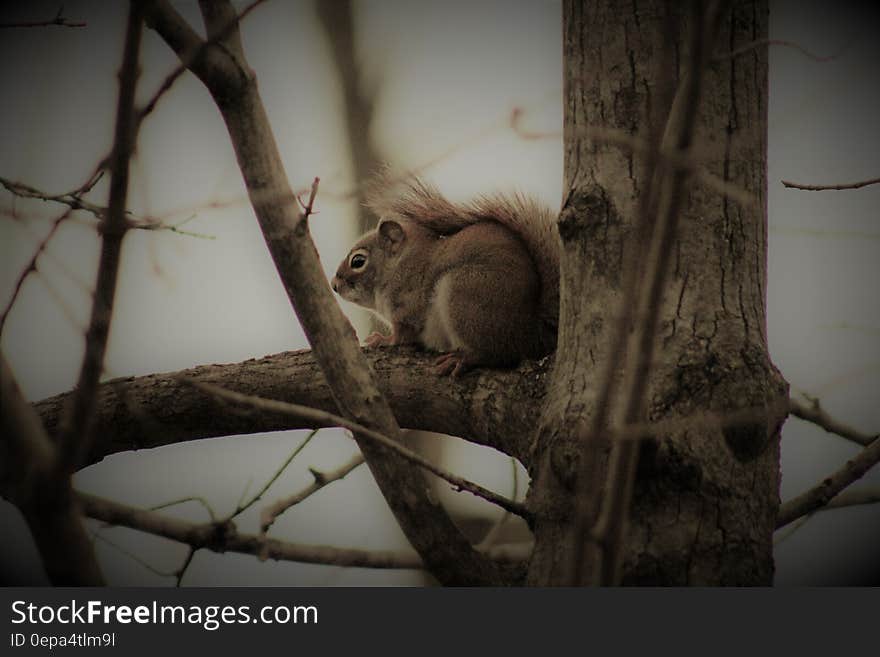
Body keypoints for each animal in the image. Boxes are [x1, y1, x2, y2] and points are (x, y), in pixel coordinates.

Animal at [330, 177, 556, 376]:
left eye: (358, 261)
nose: (333, 285)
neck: (398, 267)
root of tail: (533, 332)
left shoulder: (409, 307)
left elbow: (402, 336)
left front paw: (382, 339)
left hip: (465, 296)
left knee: (497, 353)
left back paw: (463, 358)